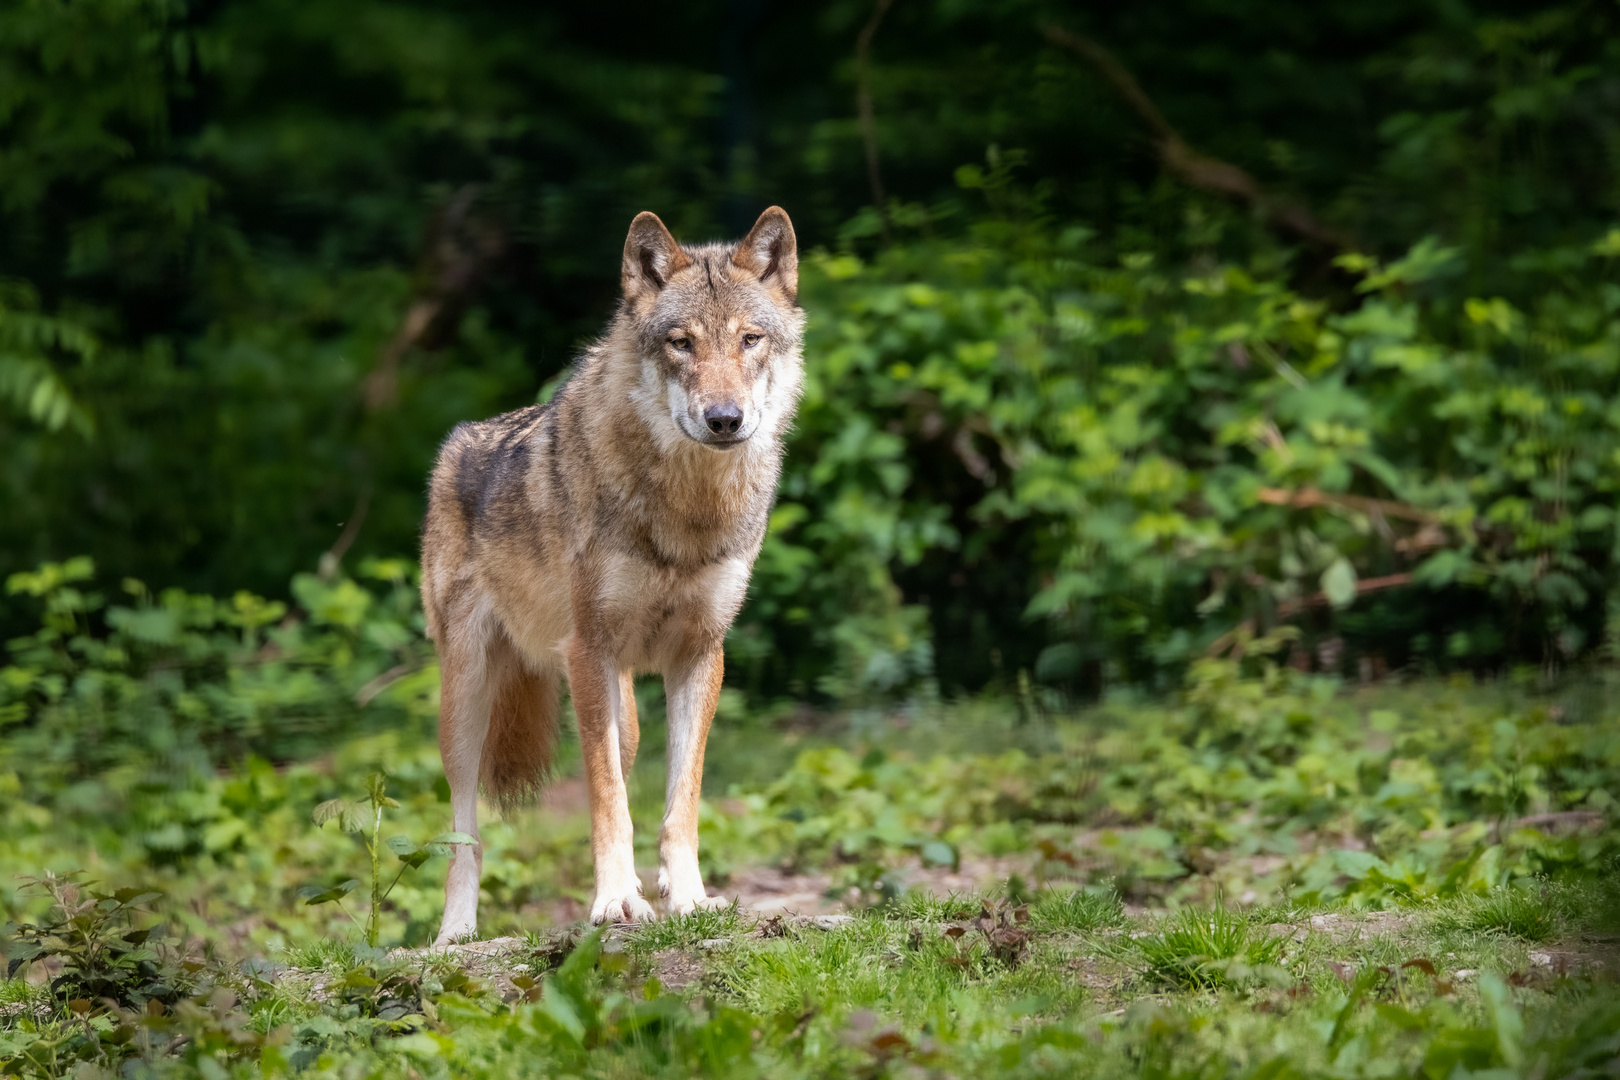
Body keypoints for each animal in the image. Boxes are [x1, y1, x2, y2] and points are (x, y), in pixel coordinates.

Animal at [414, 207, 800, 939]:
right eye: (681, 343)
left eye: (749, 339)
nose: (725, 419)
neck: (686, 511)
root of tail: (455, 444)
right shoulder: (588, 650)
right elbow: (607, 801)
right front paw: (617, 902)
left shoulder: (701, 654)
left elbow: (682, 801)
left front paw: (688, 898)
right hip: (469, 701)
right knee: (464, 832)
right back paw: (454, 935)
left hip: (624, 710)